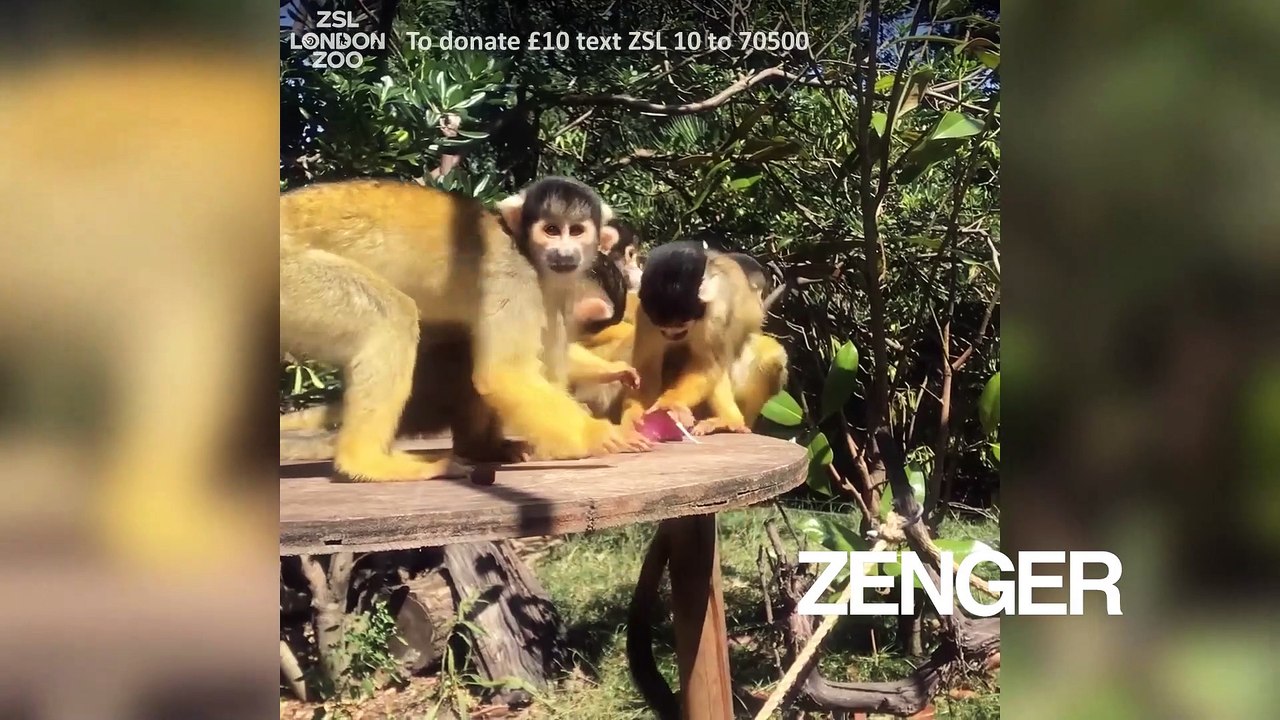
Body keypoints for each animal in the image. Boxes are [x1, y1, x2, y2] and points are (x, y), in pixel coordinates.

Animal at [279, 176, 652, 482]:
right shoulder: (515, 275)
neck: (527, 253)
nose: (564, 253)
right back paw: (367, 461)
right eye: (550, 230)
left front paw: (614, 371)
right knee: (392, 317)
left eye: (576, 231)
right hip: (293, 280)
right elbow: (504, 372)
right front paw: (597, 434)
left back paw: (481, 448)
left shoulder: (553, 290)